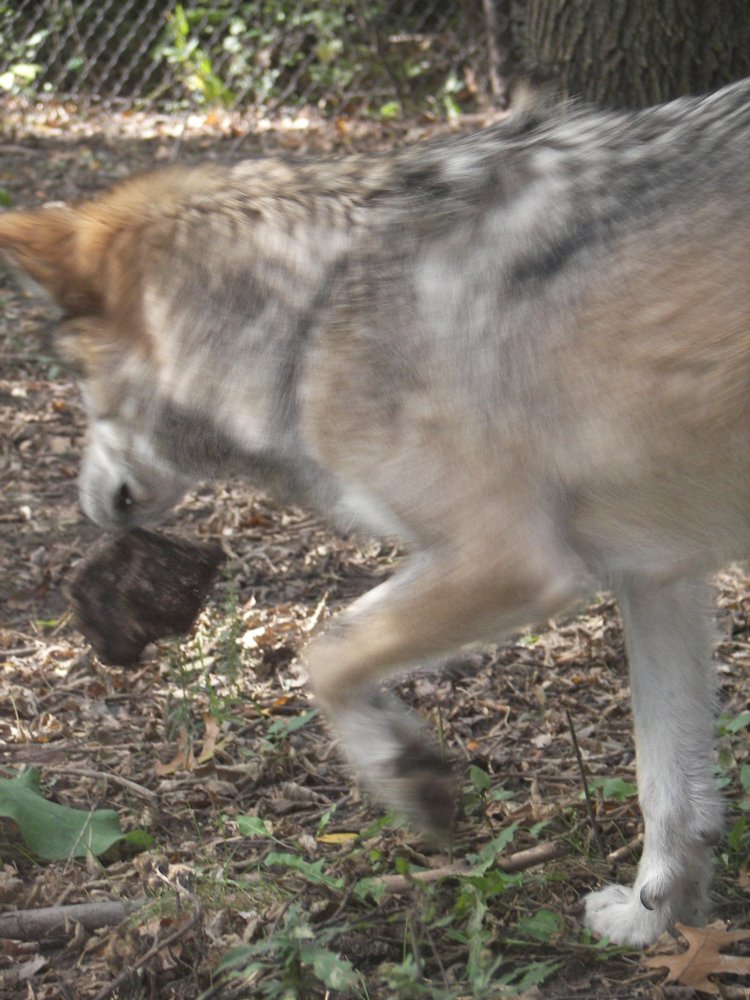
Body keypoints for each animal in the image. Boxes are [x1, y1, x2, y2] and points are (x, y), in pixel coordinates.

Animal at [1, 78, 750, 944]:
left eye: (76, 388)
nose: (87, 506)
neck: (302, 324)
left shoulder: (509, 560)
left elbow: (324, 653)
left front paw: (408, 773)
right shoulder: (657, 577)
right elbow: (668, 780)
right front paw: (650, 919)